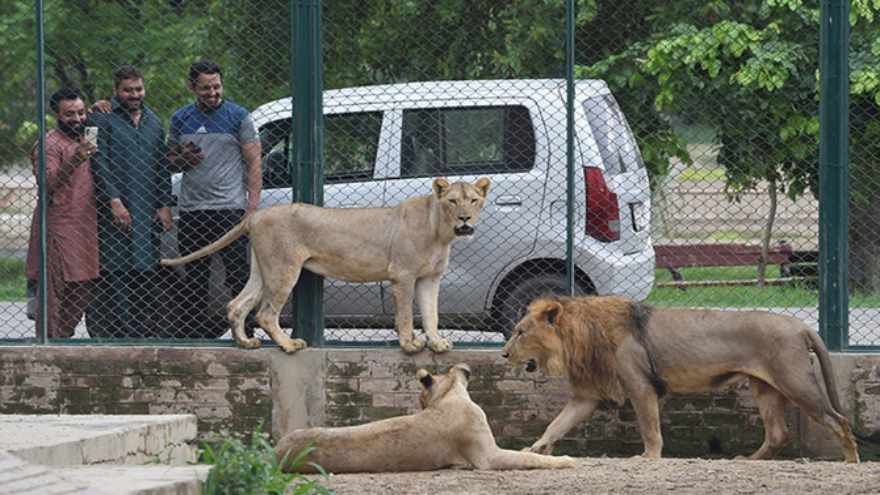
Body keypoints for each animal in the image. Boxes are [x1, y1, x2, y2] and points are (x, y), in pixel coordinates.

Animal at [161, 177, 490, 354]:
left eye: (473, 200)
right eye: (452, 201)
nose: (465, 219)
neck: (440, 232)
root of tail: (256, 215)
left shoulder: (430, 278)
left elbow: (432, 314)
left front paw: (437, 343)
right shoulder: (403, 275)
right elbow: (407, 315)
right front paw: (410, 346)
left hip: (263, 270)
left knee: (237, 304)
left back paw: (245, 343)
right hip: (284, 269)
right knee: (265, 313)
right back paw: (289, 345)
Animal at [275, 363, 576, 473]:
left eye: (420, 401)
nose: (419, 405)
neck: (448, 396)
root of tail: (275, 451)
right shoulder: (487, 457)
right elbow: (531, 458)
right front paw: (565, 459)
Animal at [501, 295, 860, 463]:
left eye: (520, 332)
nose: (503, 354)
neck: (579, 338)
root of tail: (801, 325)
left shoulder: (640, 386)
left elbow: (649, 428)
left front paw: (649, 457)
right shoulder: (586, 396)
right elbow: (557, 424)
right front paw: (536, 449)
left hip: (795, 381)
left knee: (838, 420)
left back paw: (851, 460)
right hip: (766, 388)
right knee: (777, 433)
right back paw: (747, 460)